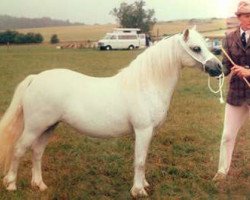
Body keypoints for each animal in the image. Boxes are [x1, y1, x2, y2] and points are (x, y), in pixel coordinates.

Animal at [0, 27, 222, 198]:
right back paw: (11, 184)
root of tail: (35, 78)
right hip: (34, 127)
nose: (219, 68)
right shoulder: (143, 130)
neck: (146, 84)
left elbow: (143, 158)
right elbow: (139, 161)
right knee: (19, 149)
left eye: (207, 45)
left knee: (37, 152)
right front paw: (138, 190)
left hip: (48, 127)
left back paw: (39, 185)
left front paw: (143, 184)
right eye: (195, 48)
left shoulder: (148, 133)